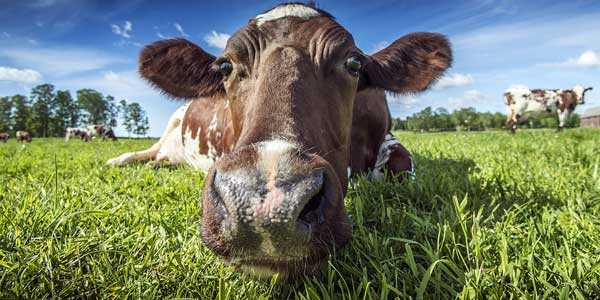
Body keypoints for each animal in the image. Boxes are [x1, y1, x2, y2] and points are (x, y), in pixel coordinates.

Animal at [105, 2, 450, 278]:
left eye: (354, 63)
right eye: (225, 66)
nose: (266, 208)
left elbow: (402, 166)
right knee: (148, 152)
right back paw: (118, 159)